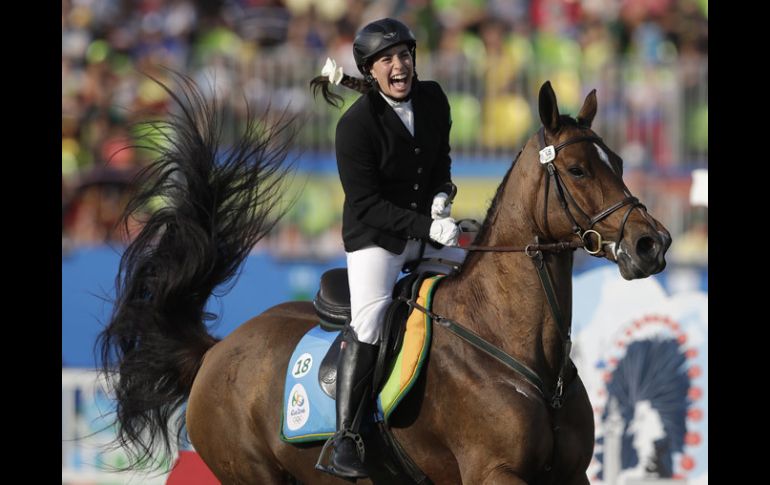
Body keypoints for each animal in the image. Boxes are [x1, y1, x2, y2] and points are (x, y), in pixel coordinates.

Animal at [99, 76, 668, 484]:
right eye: (576, 170)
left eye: (618, 161)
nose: (652, 244)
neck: (515, 343)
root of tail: (216, 351)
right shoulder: (495, 473)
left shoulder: (571, 476)